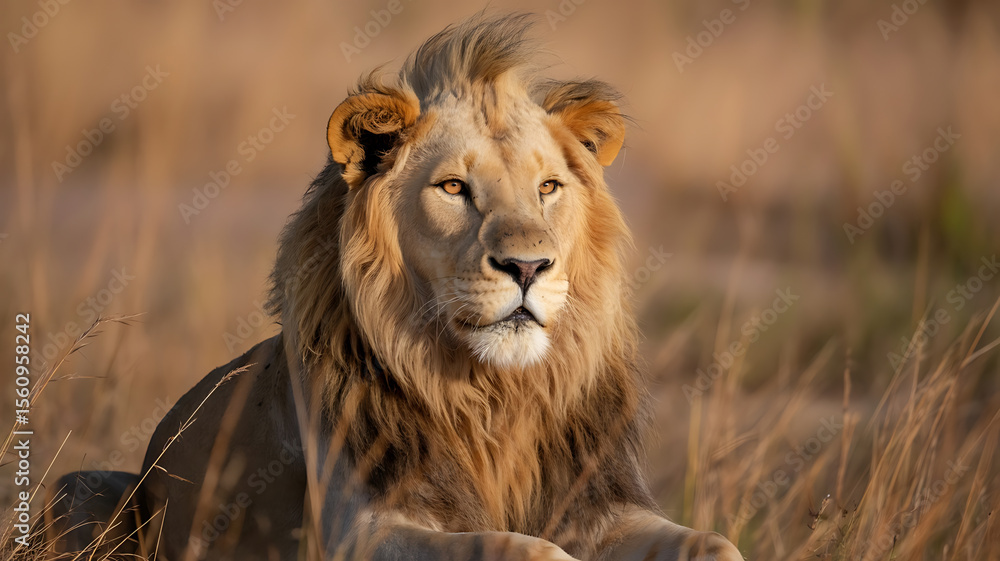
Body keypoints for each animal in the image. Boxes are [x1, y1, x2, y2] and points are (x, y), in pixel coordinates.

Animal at [45, 13, 743, 561]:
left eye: (548, 187)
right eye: (454, 188)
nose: (528, 268)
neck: (495, 399)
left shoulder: (596, 504)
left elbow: (716, 543)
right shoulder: (362, 528)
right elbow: (518, 547)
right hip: (84, 489)